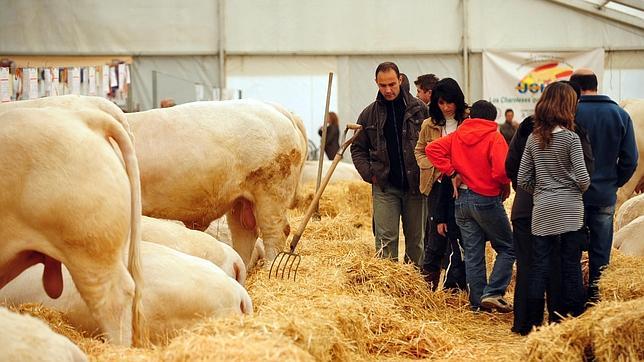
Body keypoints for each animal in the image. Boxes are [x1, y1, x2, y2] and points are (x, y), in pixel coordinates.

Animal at [127, 100, 308, 268]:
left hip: (271, 193)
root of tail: (276, 107)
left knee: (276, 232)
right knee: (245, 235)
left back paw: (270, 267)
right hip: (241, 201)